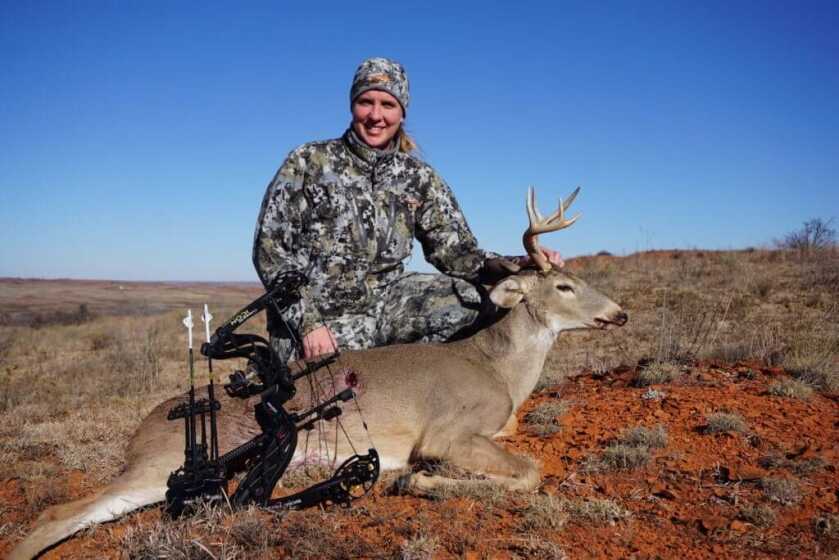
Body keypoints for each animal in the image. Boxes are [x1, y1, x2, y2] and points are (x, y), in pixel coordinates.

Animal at [10, 188, 627, 560]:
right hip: (160, 466)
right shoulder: (447, 431)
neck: (499, 368)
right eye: (564, 285)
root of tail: (144, 426)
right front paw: (418, 480)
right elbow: (529, 472)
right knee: (61, 511)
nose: (619, 313)